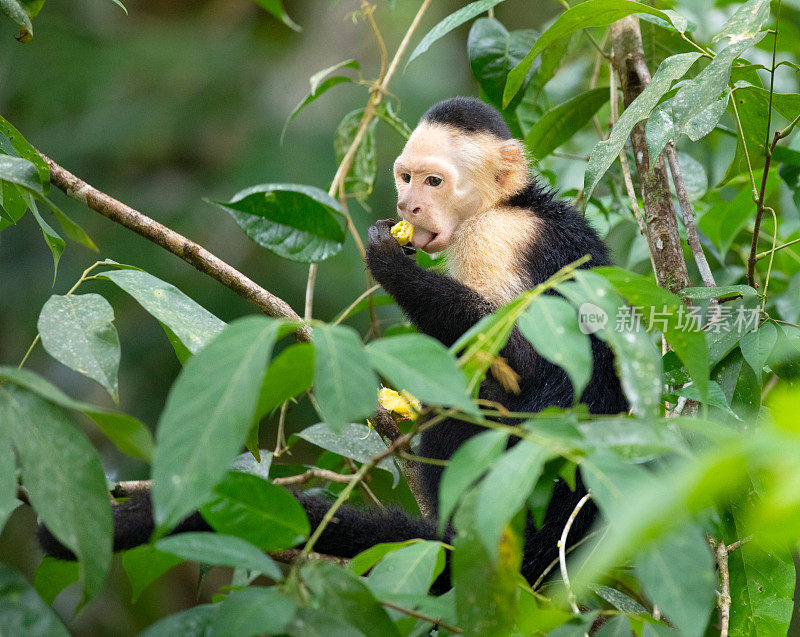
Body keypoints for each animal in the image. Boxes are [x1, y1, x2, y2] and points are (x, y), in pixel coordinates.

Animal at [39, 98, 624, 592]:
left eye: (434, 182)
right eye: (405, 178)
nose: (407, 206)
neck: (507, 205)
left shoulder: (495, 241)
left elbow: (523, 364)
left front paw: (389, 263)